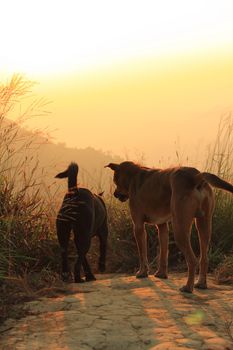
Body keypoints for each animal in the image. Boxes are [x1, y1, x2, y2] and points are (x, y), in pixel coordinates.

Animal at [106, 161, 233, 292]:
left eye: (115, 181)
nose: (114, 194)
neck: (133, 176)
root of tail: (195, 176)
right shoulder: (162, 226)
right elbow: (163, 252)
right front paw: (161, 274)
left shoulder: (138, 226)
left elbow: (142, 254)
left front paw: (142, 272)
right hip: (203, 224)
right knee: (204, 258)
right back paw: (201, 284)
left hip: (179, 228)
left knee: (192, 260)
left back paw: (188, 287)